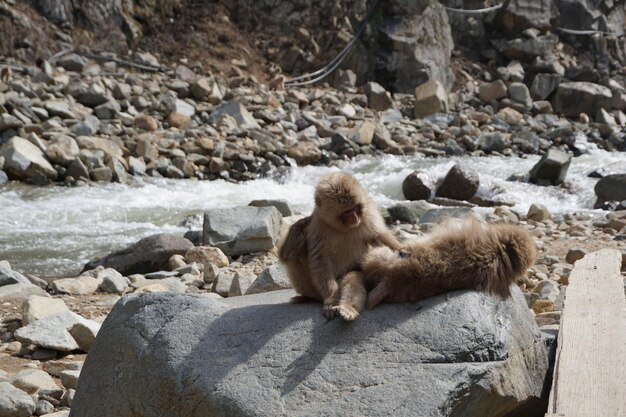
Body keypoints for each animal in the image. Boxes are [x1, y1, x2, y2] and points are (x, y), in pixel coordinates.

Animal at [278, 171, 400, 320]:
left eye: (355, 208)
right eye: (346, 212)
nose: (355, 218)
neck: (343, 228)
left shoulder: (369, 214)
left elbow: (380, 237)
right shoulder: (317, 225)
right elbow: (320, 260)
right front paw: (331, 299)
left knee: (353, 277)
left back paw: (348, 308)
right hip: (312, 288)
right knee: (293, 255)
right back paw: (294, 236)